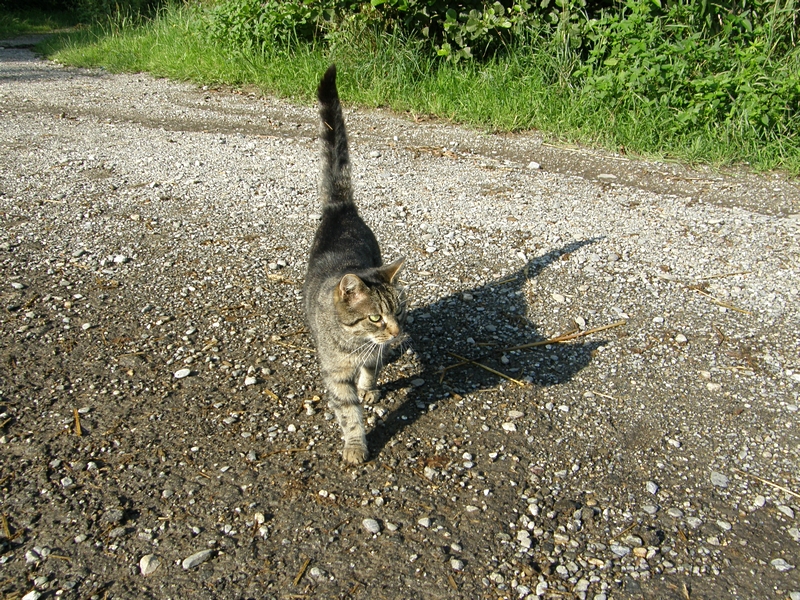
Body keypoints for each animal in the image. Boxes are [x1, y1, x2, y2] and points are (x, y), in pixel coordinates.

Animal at [304, 65, 410, 464]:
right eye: (375, 316)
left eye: (399, 310)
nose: (397, 332)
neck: (354, 342)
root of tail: (342, 208)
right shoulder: (335, 374)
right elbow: (348, 412)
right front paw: (355, 445)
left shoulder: (374, 352)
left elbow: (371, 369)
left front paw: (369, 387)